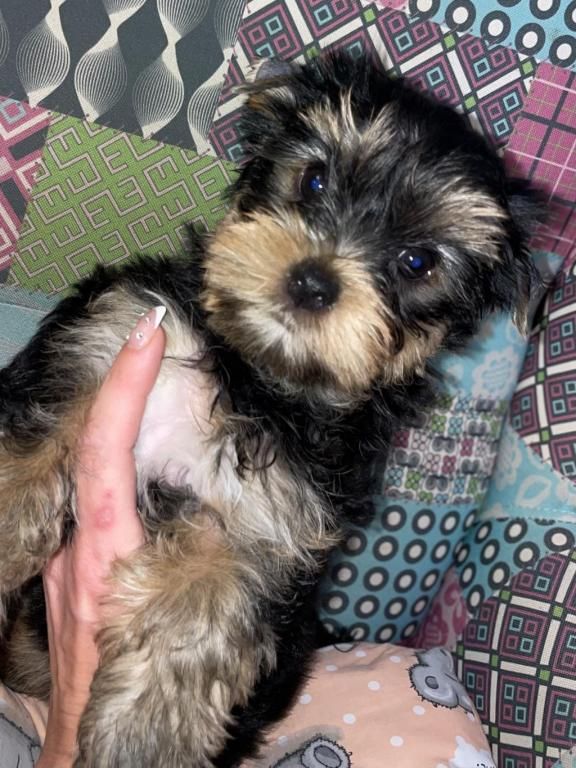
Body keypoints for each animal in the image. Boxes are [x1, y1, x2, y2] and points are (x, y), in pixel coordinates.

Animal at [0, 51, 539, 767]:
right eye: (314, 179)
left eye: (417, 261)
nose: (313, 281)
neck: (254, 378)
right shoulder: (105, 338)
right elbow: (28, 448)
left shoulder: (269, 528)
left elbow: (204, 603)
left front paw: (142, 737)